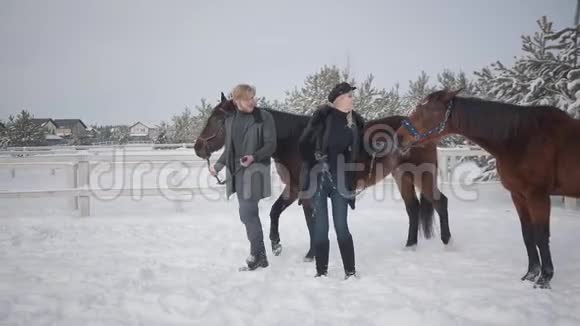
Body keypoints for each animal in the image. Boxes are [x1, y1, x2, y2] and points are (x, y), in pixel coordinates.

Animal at [193, 93, 450, 262]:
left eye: (218, 119)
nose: (198, 147)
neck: (294, 140)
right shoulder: (293, 189)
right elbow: (275, 212)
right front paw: (276, 245)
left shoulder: (307, 193)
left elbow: (311, 223)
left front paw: (310, 254)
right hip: (402, 175)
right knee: (413, 208)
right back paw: (410, 246)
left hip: (422, 174)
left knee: (440, 202)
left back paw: (447, 243)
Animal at [396, 88, 580, 288]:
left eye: (428, 110)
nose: (399, 136)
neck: (521, 139)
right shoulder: (519, 195)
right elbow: (528, 235)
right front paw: (530, 275)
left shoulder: (538, 195)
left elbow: (541, 236)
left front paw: (543, 280)